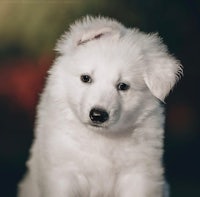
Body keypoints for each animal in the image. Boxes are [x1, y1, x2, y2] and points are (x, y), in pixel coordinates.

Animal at [18, 16, 182, 196]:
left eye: (123, 86)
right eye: (86, 78)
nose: (97, 115)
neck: (101, 138)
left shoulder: (139, 174)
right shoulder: (62, 172)